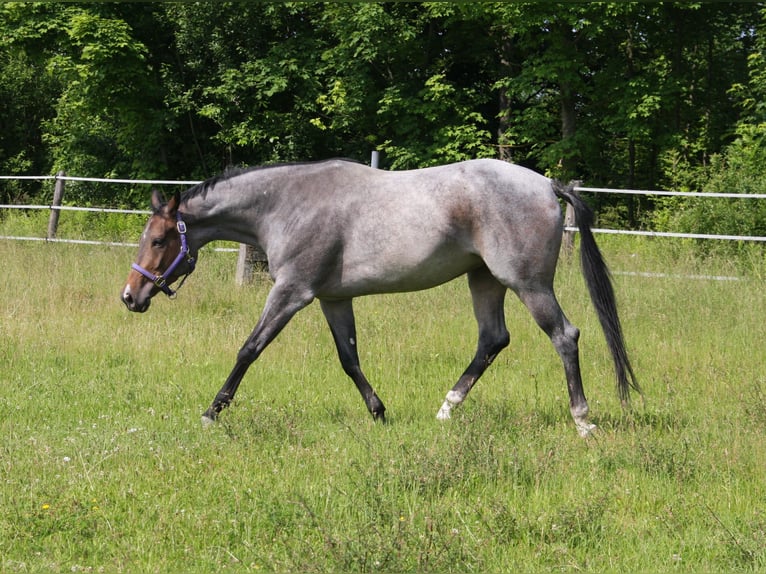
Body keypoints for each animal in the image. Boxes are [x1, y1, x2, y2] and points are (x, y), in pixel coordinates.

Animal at [121, 158, 639, 436]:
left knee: (564, 336)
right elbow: (349, 359)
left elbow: (249, 349)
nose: (130, 296)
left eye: (160, 240)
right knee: (492, 340)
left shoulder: (291, 292)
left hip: (528, 285)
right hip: (485, 281)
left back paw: (583, 421)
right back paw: (445, 410)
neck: (287, 204)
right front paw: (379, 412)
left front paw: (212, 413)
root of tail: (548, 185)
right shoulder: (333, 300)